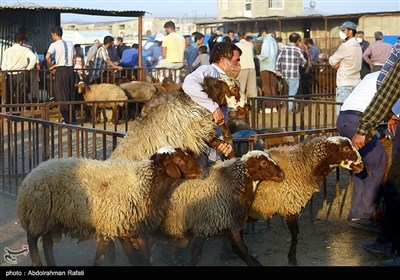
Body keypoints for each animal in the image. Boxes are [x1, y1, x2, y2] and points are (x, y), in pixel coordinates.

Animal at [15, 145, 203, 266]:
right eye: (179, 159)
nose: (201, 171)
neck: (144, 183)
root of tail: (34, 171)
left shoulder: (131, 227)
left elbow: (143, 258)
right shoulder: (109, 226)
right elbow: (100, 259)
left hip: (52, 219)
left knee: (47, 243)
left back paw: (52, 264)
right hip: (38, 214)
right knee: (32, 239)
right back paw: (37, 263)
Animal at [156, 150, 284, 266]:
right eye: (263, 162)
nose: (282, 174)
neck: (231, 186)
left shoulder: (233, 224)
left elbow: (241, 249)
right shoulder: (204, 228)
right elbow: (197, 255)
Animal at [247, 137, 366, 266]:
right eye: (346, 148)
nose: (362, 165)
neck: (303, 163)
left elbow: (296, 234)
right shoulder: (290, 206)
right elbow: (296, 234)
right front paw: (292, 259)